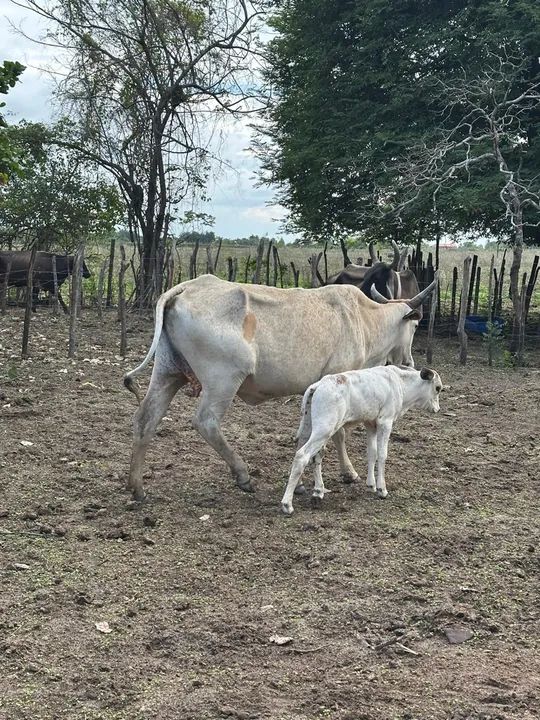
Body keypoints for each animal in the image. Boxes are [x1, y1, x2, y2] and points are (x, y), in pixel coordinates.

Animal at [123, 272, 438, 501]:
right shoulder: (337, 382)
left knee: (146, 419)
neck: (363, 318)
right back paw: (243, 474)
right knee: (206, 422)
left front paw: (300, 483)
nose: (409, 362)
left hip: (168, 372)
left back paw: (137, 487)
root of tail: (187, 287)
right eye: (415, 325)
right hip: (223, 379)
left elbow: (305, 437)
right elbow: (338, 435)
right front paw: (348, 472)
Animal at [281, 365, 442, 515]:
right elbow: (382, 455)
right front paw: (382, 489)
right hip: (324, 429)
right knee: (302, 456)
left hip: (315, 428)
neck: (400, 383)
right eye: (438, 388)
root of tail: (318, 385)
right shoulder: (385, 422)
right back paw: (287, 504)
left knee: (317, 456)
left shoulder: (371, 424)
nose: (438, 409)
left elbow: (372, 453)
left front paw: (371, 485)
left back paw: (318, 492)